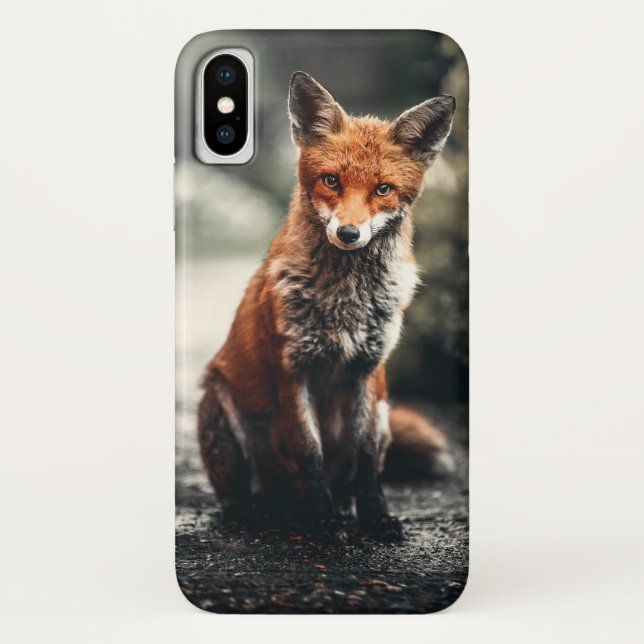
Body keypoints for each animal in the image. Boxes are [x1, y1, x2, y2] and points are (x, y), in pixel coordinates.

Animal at [198, 71, 456, 541]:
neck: (345, 301)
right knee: (245, 495)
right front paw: (321, 521)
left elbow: (366, 459)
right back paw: (263, 512)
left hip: (385, 412)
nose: (349, 233)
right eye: (332, 180)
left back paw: (344, 507)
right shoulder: (293, 368)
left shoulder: (369, 370)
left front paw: (376, 517)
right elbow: (309, 451)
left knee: (349, 477)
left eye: (383, 189)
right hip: (219, 403)